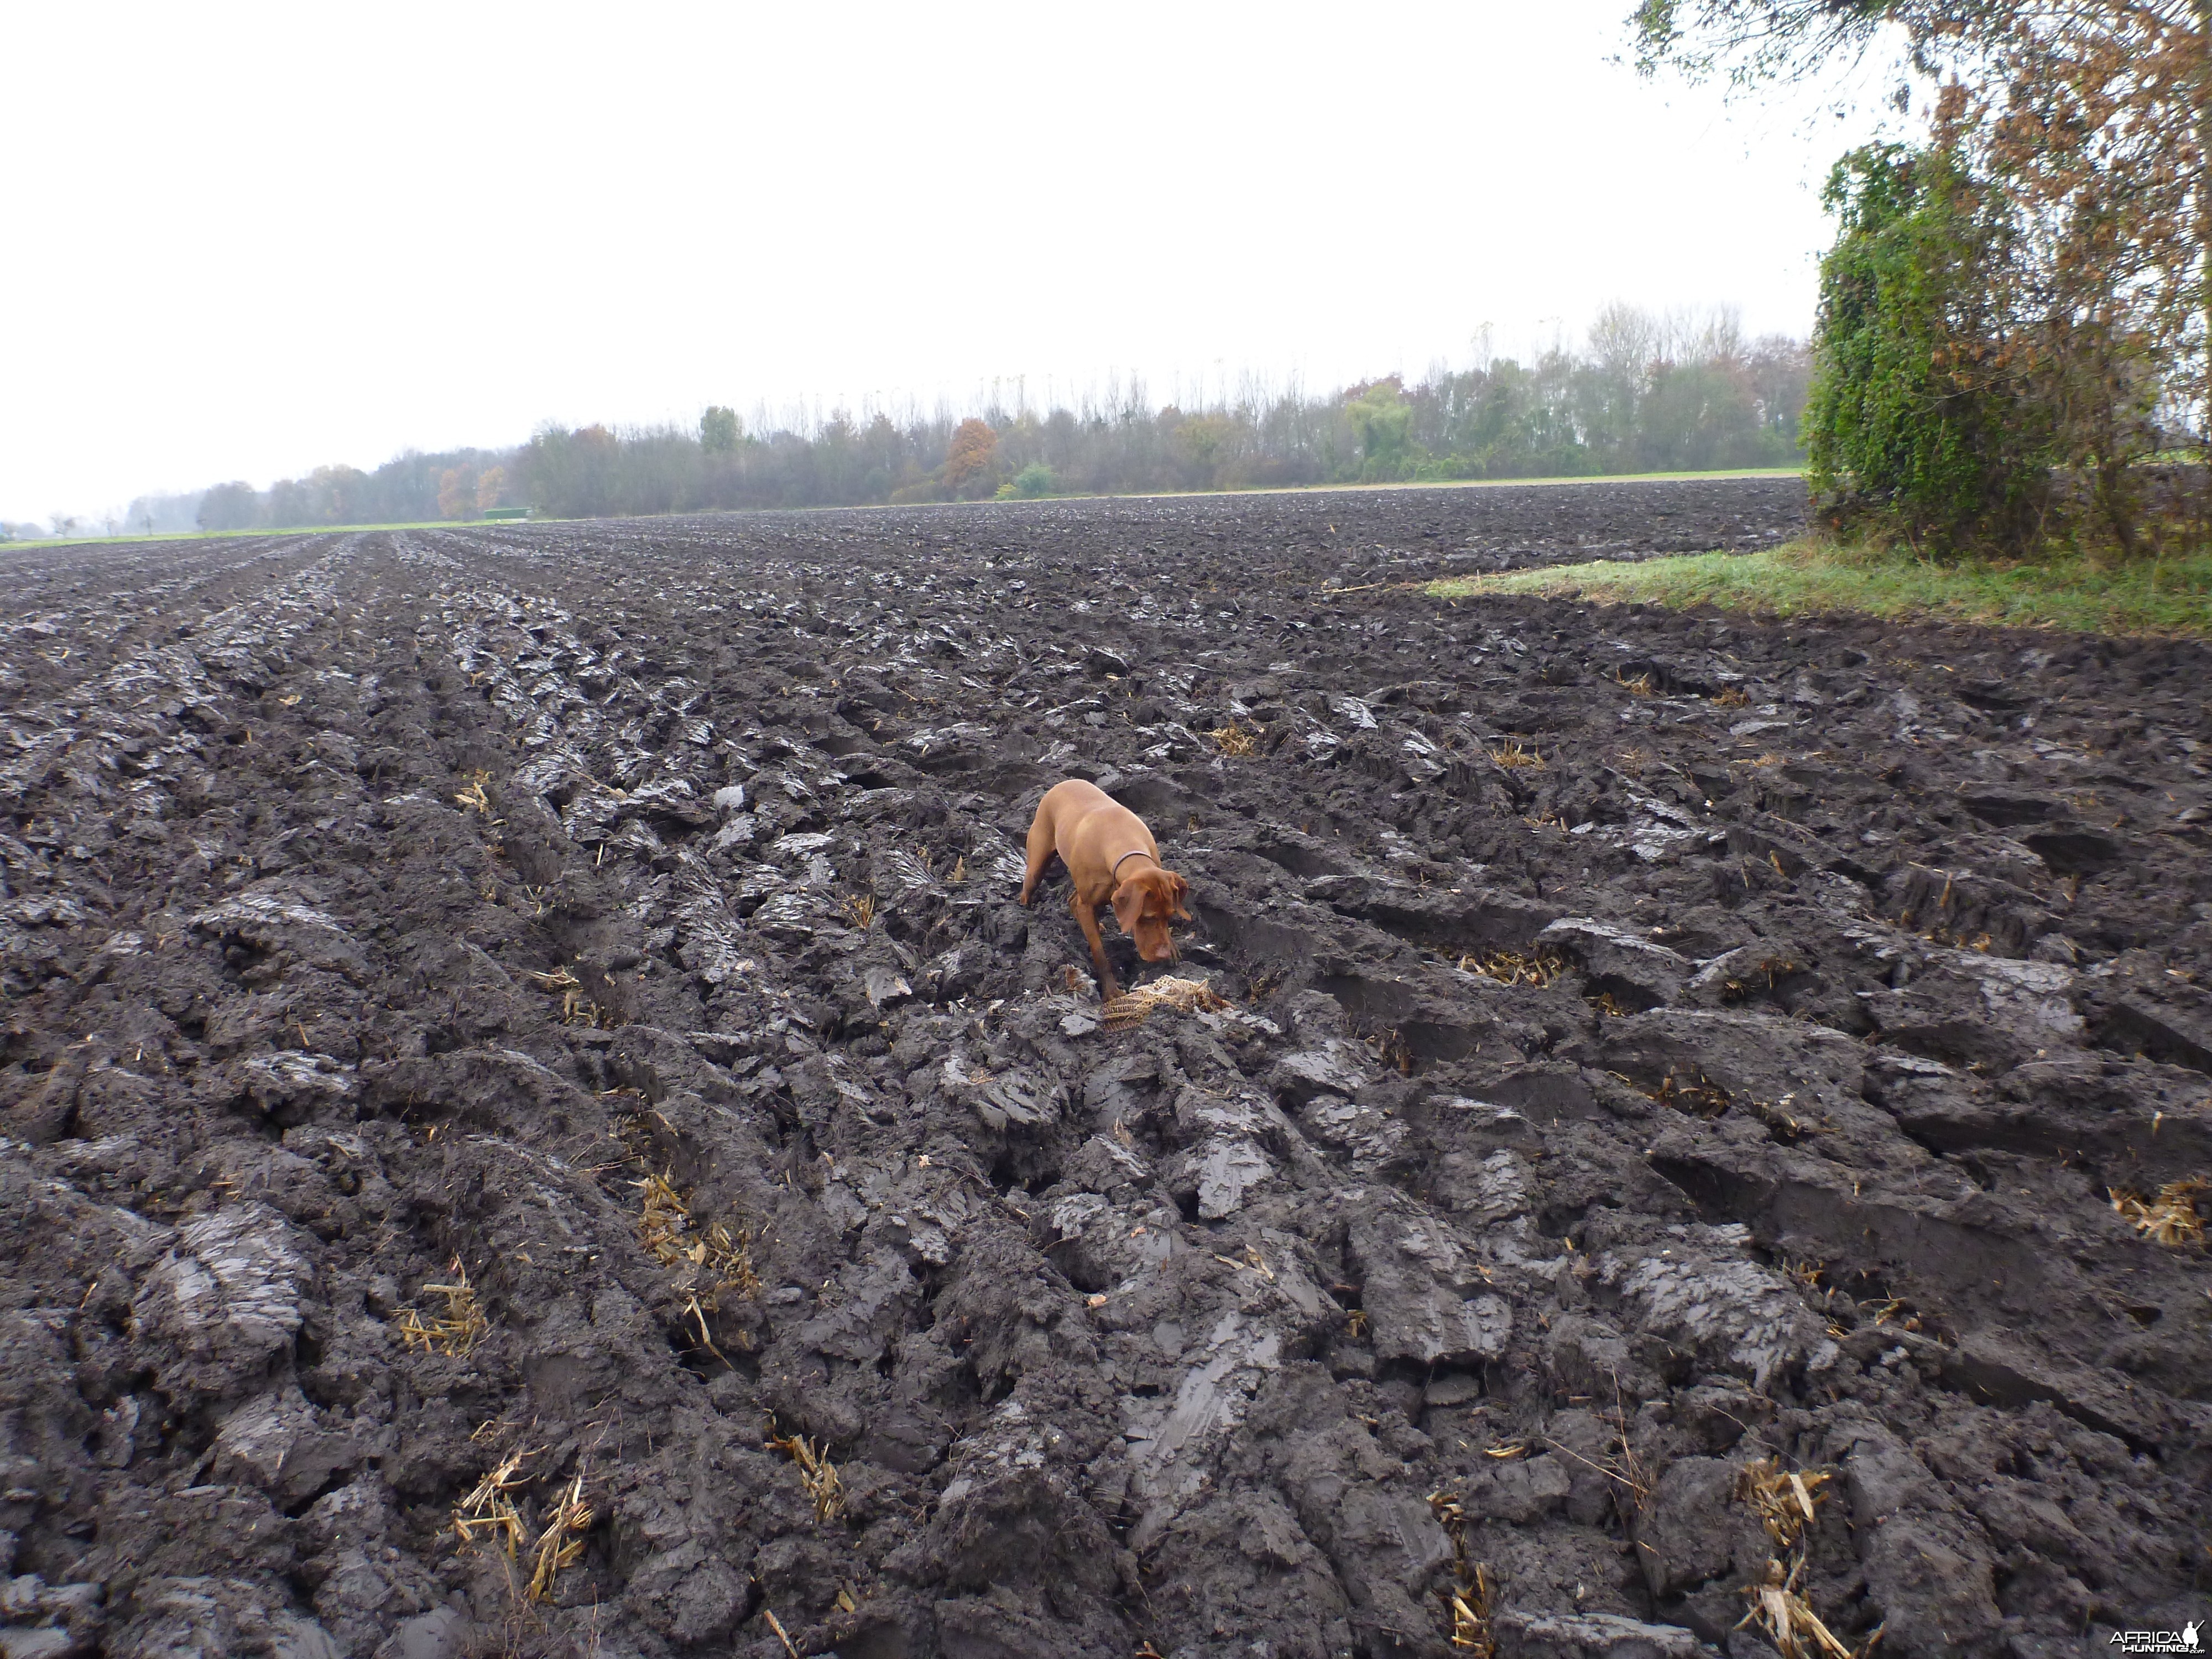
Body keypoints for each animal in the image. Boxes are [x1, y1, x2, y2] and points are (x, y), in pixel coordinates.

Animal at [1018, 783, 1194, 1000]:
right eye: (1148, 917)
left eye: (1170, 916)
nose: (1163, 954)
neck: (1123, 841)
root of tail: (1061, 784)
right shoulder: (1087, 905)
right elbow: (1100, 954)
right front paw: (1111, 991)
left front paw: (1173, 949)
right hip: (1037, 866)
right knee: (1030, 890)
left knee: (1072, 900)